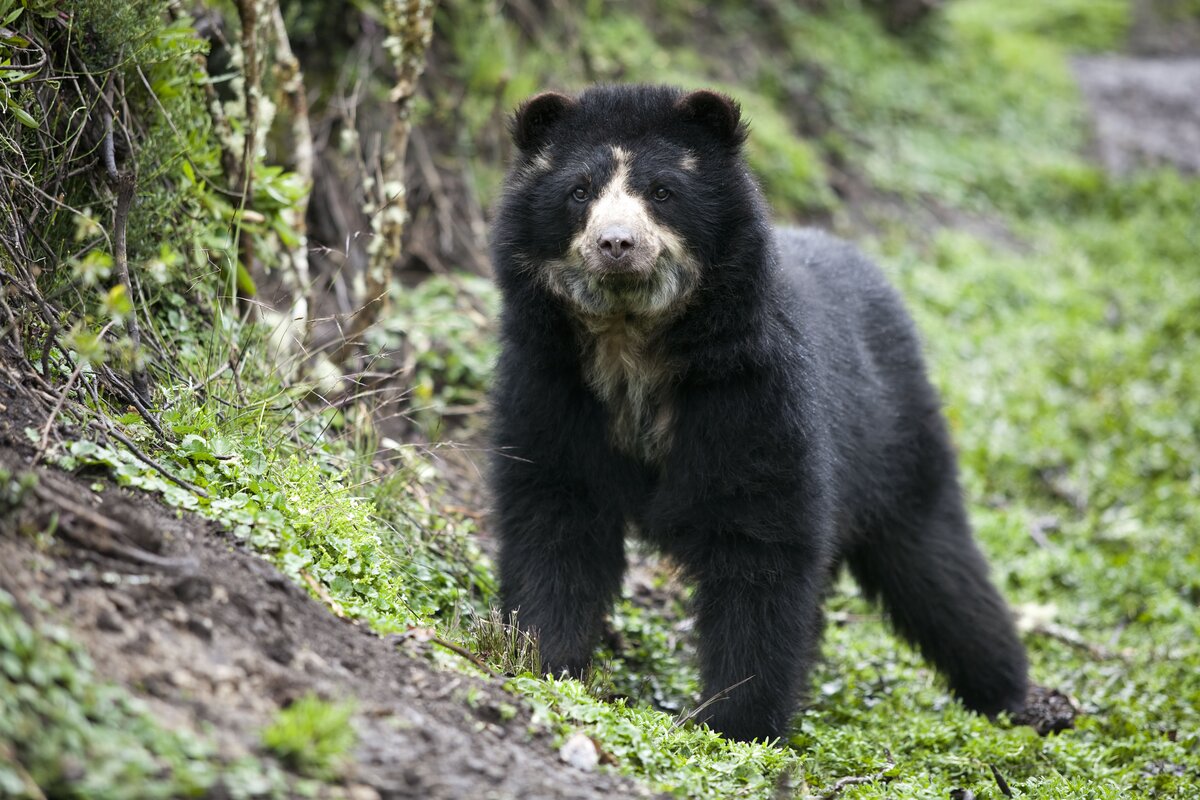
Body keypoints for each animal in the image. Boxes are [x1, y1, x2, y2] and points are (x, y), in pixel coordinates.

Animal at [482, 84, 1027, 743]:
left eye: (662, 190)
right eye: (579, 191)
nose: (616, 245)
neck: (631, 343)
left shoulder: (752, 395)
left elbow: (760, 546)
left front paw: (737, 723)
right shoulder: (551, 384)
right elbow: (554, 517)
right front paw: (540, 658)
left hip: (896, 436)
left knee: (937, 566)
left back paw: (1010, 693)